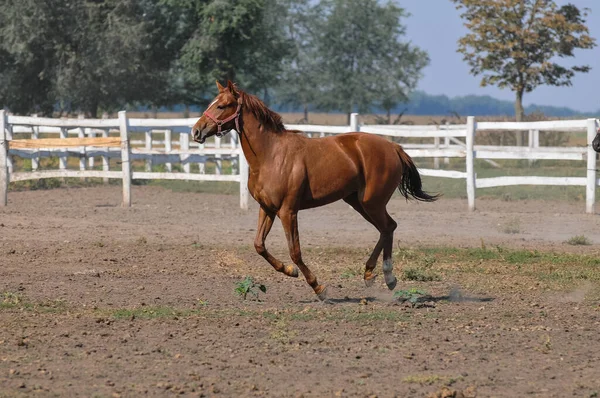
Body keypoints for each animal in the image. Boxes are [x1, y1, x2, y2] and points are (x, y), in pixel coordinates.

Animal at [195, 81, 438, 298]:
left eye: (222, 105)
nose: (196, 131)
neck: (270, 155)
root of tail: (394, 147)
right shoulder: (267, 208)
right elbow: (259, 245)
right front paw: (289, 271)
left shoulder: (288, 211)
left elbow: (295, 251)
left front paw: (318, 287)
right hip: (358, 202)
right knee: (387, 228)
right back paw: (373, 275)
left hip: (372, 202)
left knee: (388, 227)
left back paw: (385, 276)